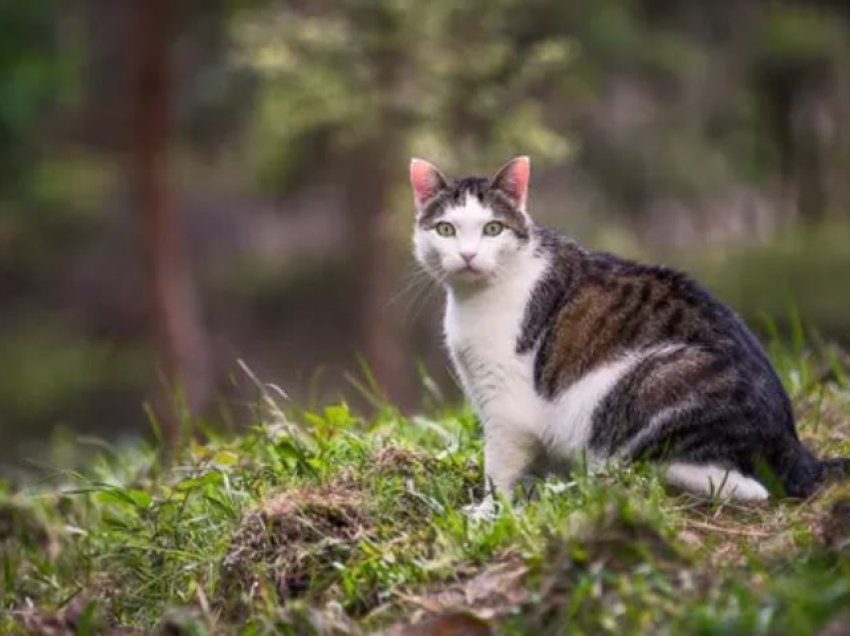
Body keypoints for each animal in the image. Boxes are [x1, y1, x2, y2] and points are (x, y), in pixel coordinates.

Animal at [408, 154, 844, 502]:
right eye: (446, 229)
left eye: (492, 229)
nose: (468, 255)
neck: (474, 299)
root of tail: (793, 446)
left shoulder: (507, 408)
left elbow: (499, 469)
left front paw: (488, 510)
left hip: (655, 377)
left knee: (739, 484)